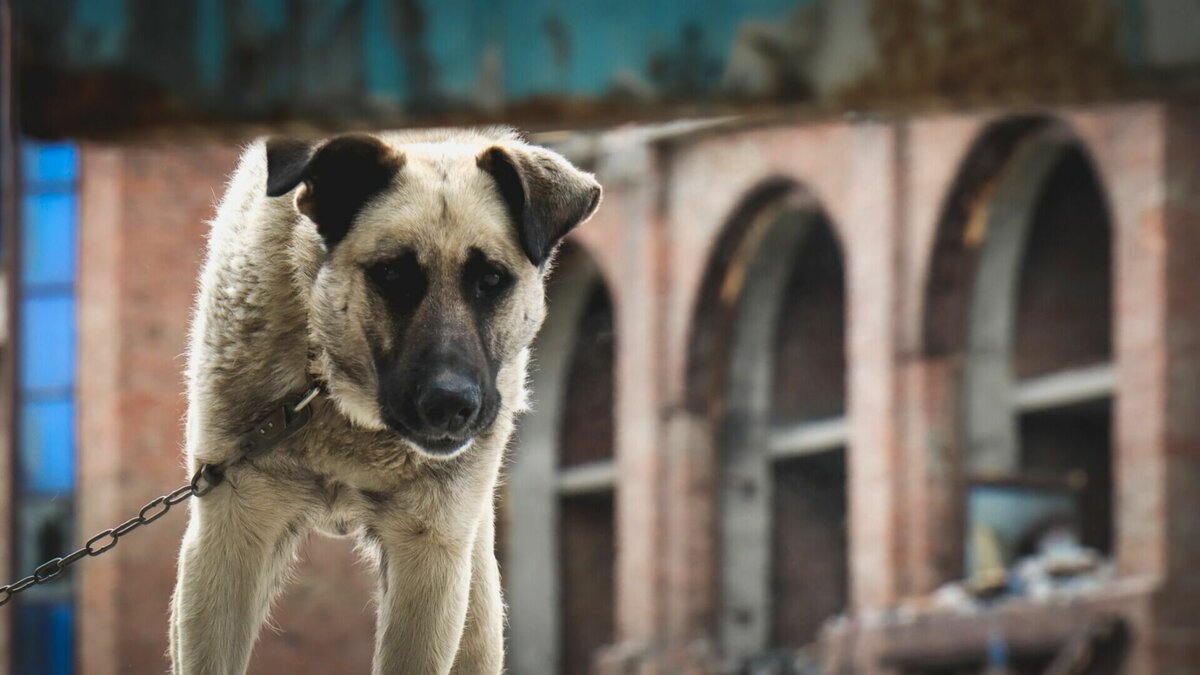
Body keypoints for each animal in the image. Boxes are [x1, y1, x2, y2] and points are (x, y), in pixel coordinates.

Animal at [169, 127, 600, 672]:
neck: (338, 401)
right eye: (393, 274)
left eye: (492, 280)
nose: (450, 404)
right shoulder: (232, 528)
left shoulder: (430, 552)